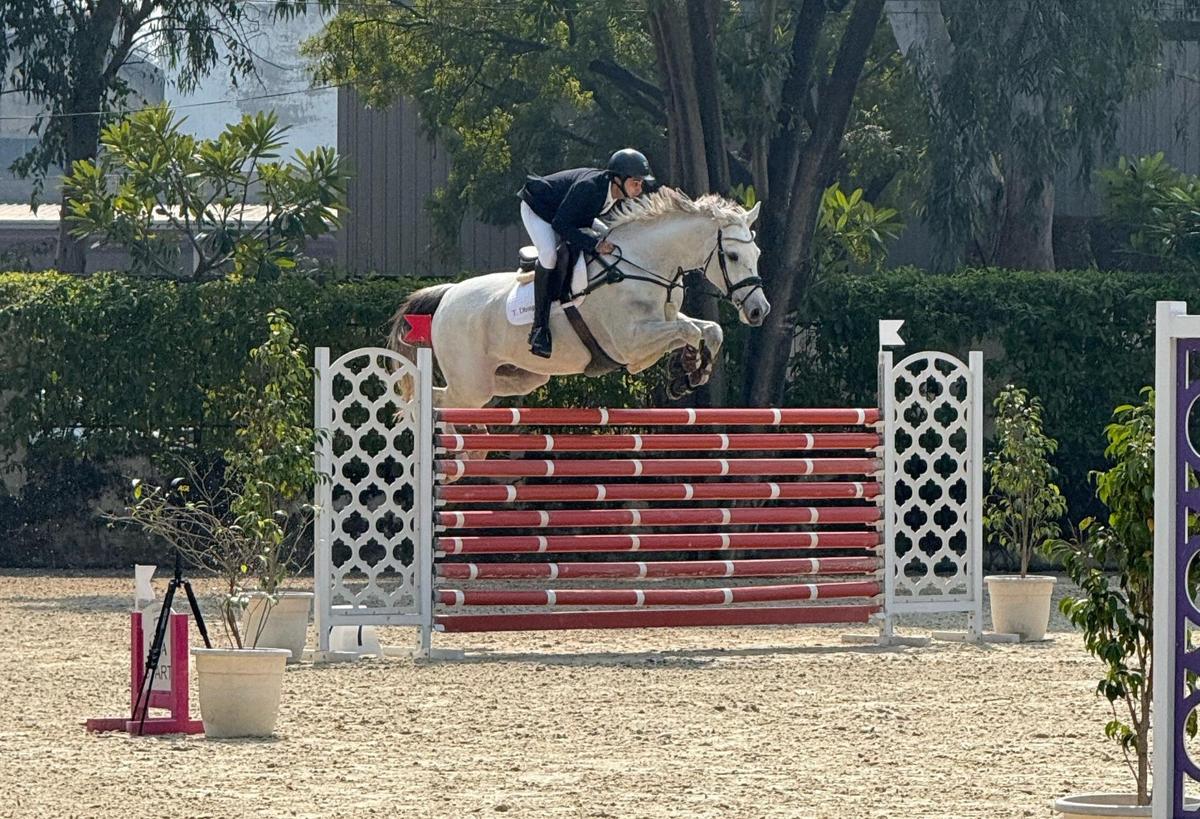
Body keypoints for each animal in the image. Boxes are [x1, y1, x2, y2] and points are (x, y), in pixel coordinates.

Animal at [388, 186, 772, 405]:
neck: (643, 263)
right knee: (435, 400)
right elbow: (690, 331)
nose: (758, 310)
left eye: (757, 253)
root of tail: (448, 295)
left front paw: (692, 372)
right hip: (471, 383)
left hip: (521, 377)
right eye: (732, 256)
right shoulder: (631, 345)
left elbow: (709, 330)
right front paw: (686, 369)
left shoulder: (662, 322)